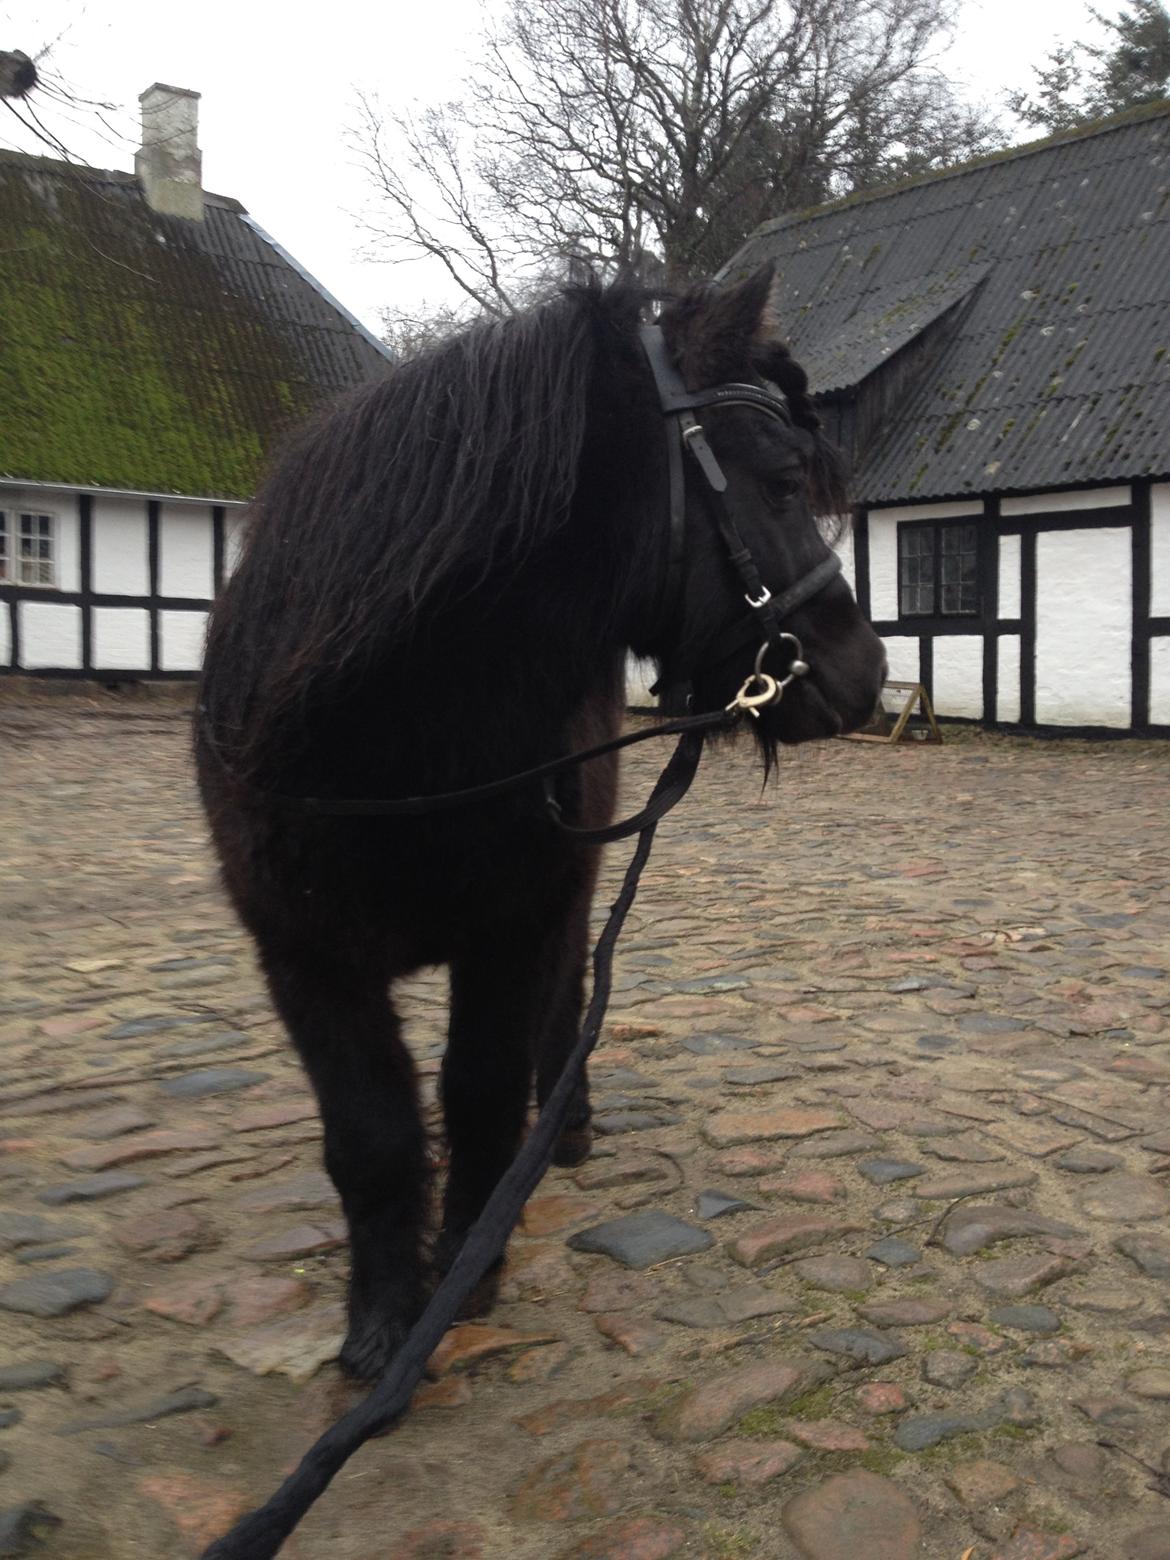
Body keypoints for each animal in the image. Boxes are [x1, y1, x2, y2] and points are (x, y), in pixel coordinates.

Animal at [195, 265, 886, 1379]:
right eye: (781, 482)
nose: (865, 672)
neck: (391, 741)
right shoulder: (304, 956)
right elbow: (371, 1135)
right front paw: (383, 1318)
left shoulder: (510, 932)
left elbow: (480, 1090)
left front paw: (467, 1269)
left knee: (562, 1012)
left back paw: (565, 1130)